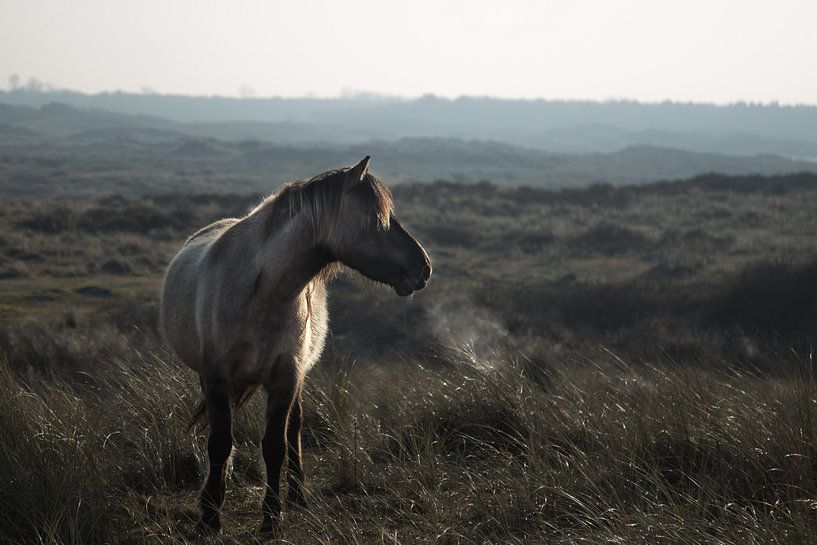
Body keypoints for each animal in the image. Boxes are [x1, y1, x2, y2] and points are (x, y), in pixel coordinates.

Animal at [156, 155, 430, 532]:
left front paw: (272, 516)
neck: (262, 292)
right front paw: (210, 514)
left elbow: (276, 445)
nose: (424, 268)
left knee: (295, 427)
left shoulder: (286, 378)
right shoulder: (216, 376)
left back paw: (298, 494)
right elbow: (220, 442)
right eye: (377, 219)